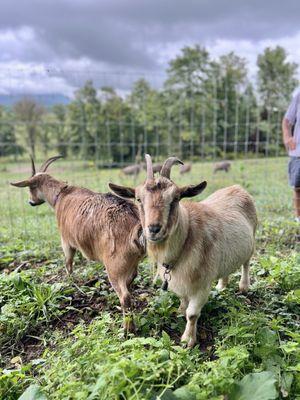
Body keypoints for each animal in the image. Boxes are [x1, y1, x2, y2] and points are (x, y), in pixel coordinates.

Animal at [9, 155, 145, 332]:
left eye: (31, 188)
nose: (31, 202)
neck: (61, 195)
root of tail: (135, 224)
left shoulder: (66, 241)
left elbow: (68, 263)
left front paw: (70, 282)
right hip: (130, 262)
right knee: (131, 279)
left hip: (114, 265)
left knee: (124, 296)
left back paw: (127, 329)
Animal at [110, 153, 258, 346]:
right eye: (138, 199)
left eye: (175, 198)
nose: (154, 228)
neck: (186, 239)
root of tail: (238, 188)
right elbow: (182, 300)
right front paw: (180, 310)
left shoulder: (202, 284)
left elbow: (192, 313)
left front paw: (188, 340)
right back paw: (221, 286)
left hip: (252, 240)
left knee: (246, 264)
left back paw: (244, 287)